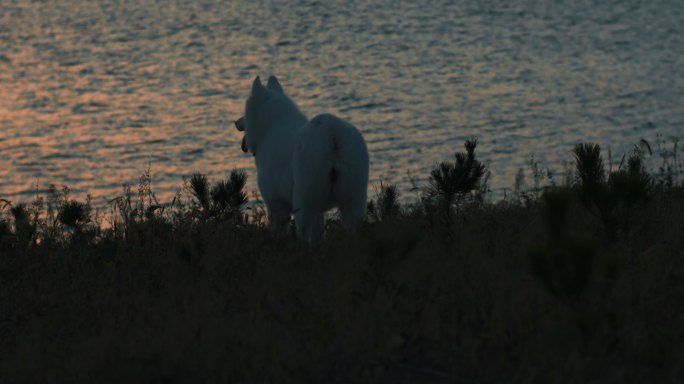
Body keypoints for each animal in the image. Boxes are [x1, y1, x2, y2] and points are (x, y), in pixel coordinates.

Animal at [238, 76, 372, 244]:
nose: (235, 122)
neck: (272, 126)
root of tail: (332, 134)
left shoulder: (275, 204)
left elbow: (279, 230)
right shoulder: (320, 211)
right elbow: (318, 236)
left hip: (305, 202)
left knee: (303, 233)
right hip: (354, 200)